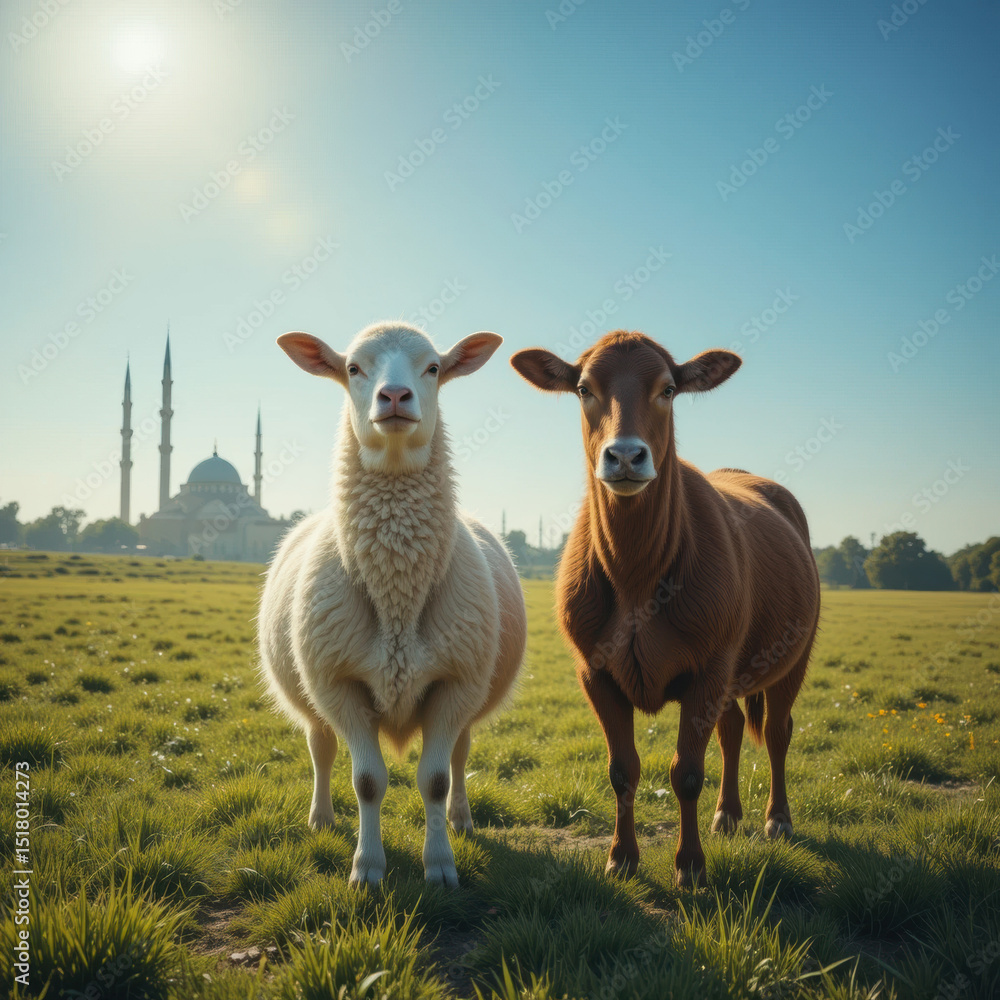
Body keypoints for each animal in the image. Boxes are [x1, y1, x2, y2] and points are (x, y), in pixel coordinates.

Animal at [258, 321, 525, 887]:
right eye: (353, 368)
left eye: (434, 368)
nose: (396, 397)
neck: (398, 595)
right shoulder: (338, 684)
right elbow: (367, 781)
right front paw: (367, 868)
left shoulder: (456, 684)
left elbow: (436, 780)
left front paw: (441, 865)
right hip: (312, 696)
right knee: (321, 749)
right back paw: (321, 818)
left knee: (461, 756)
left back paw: (462, 820)